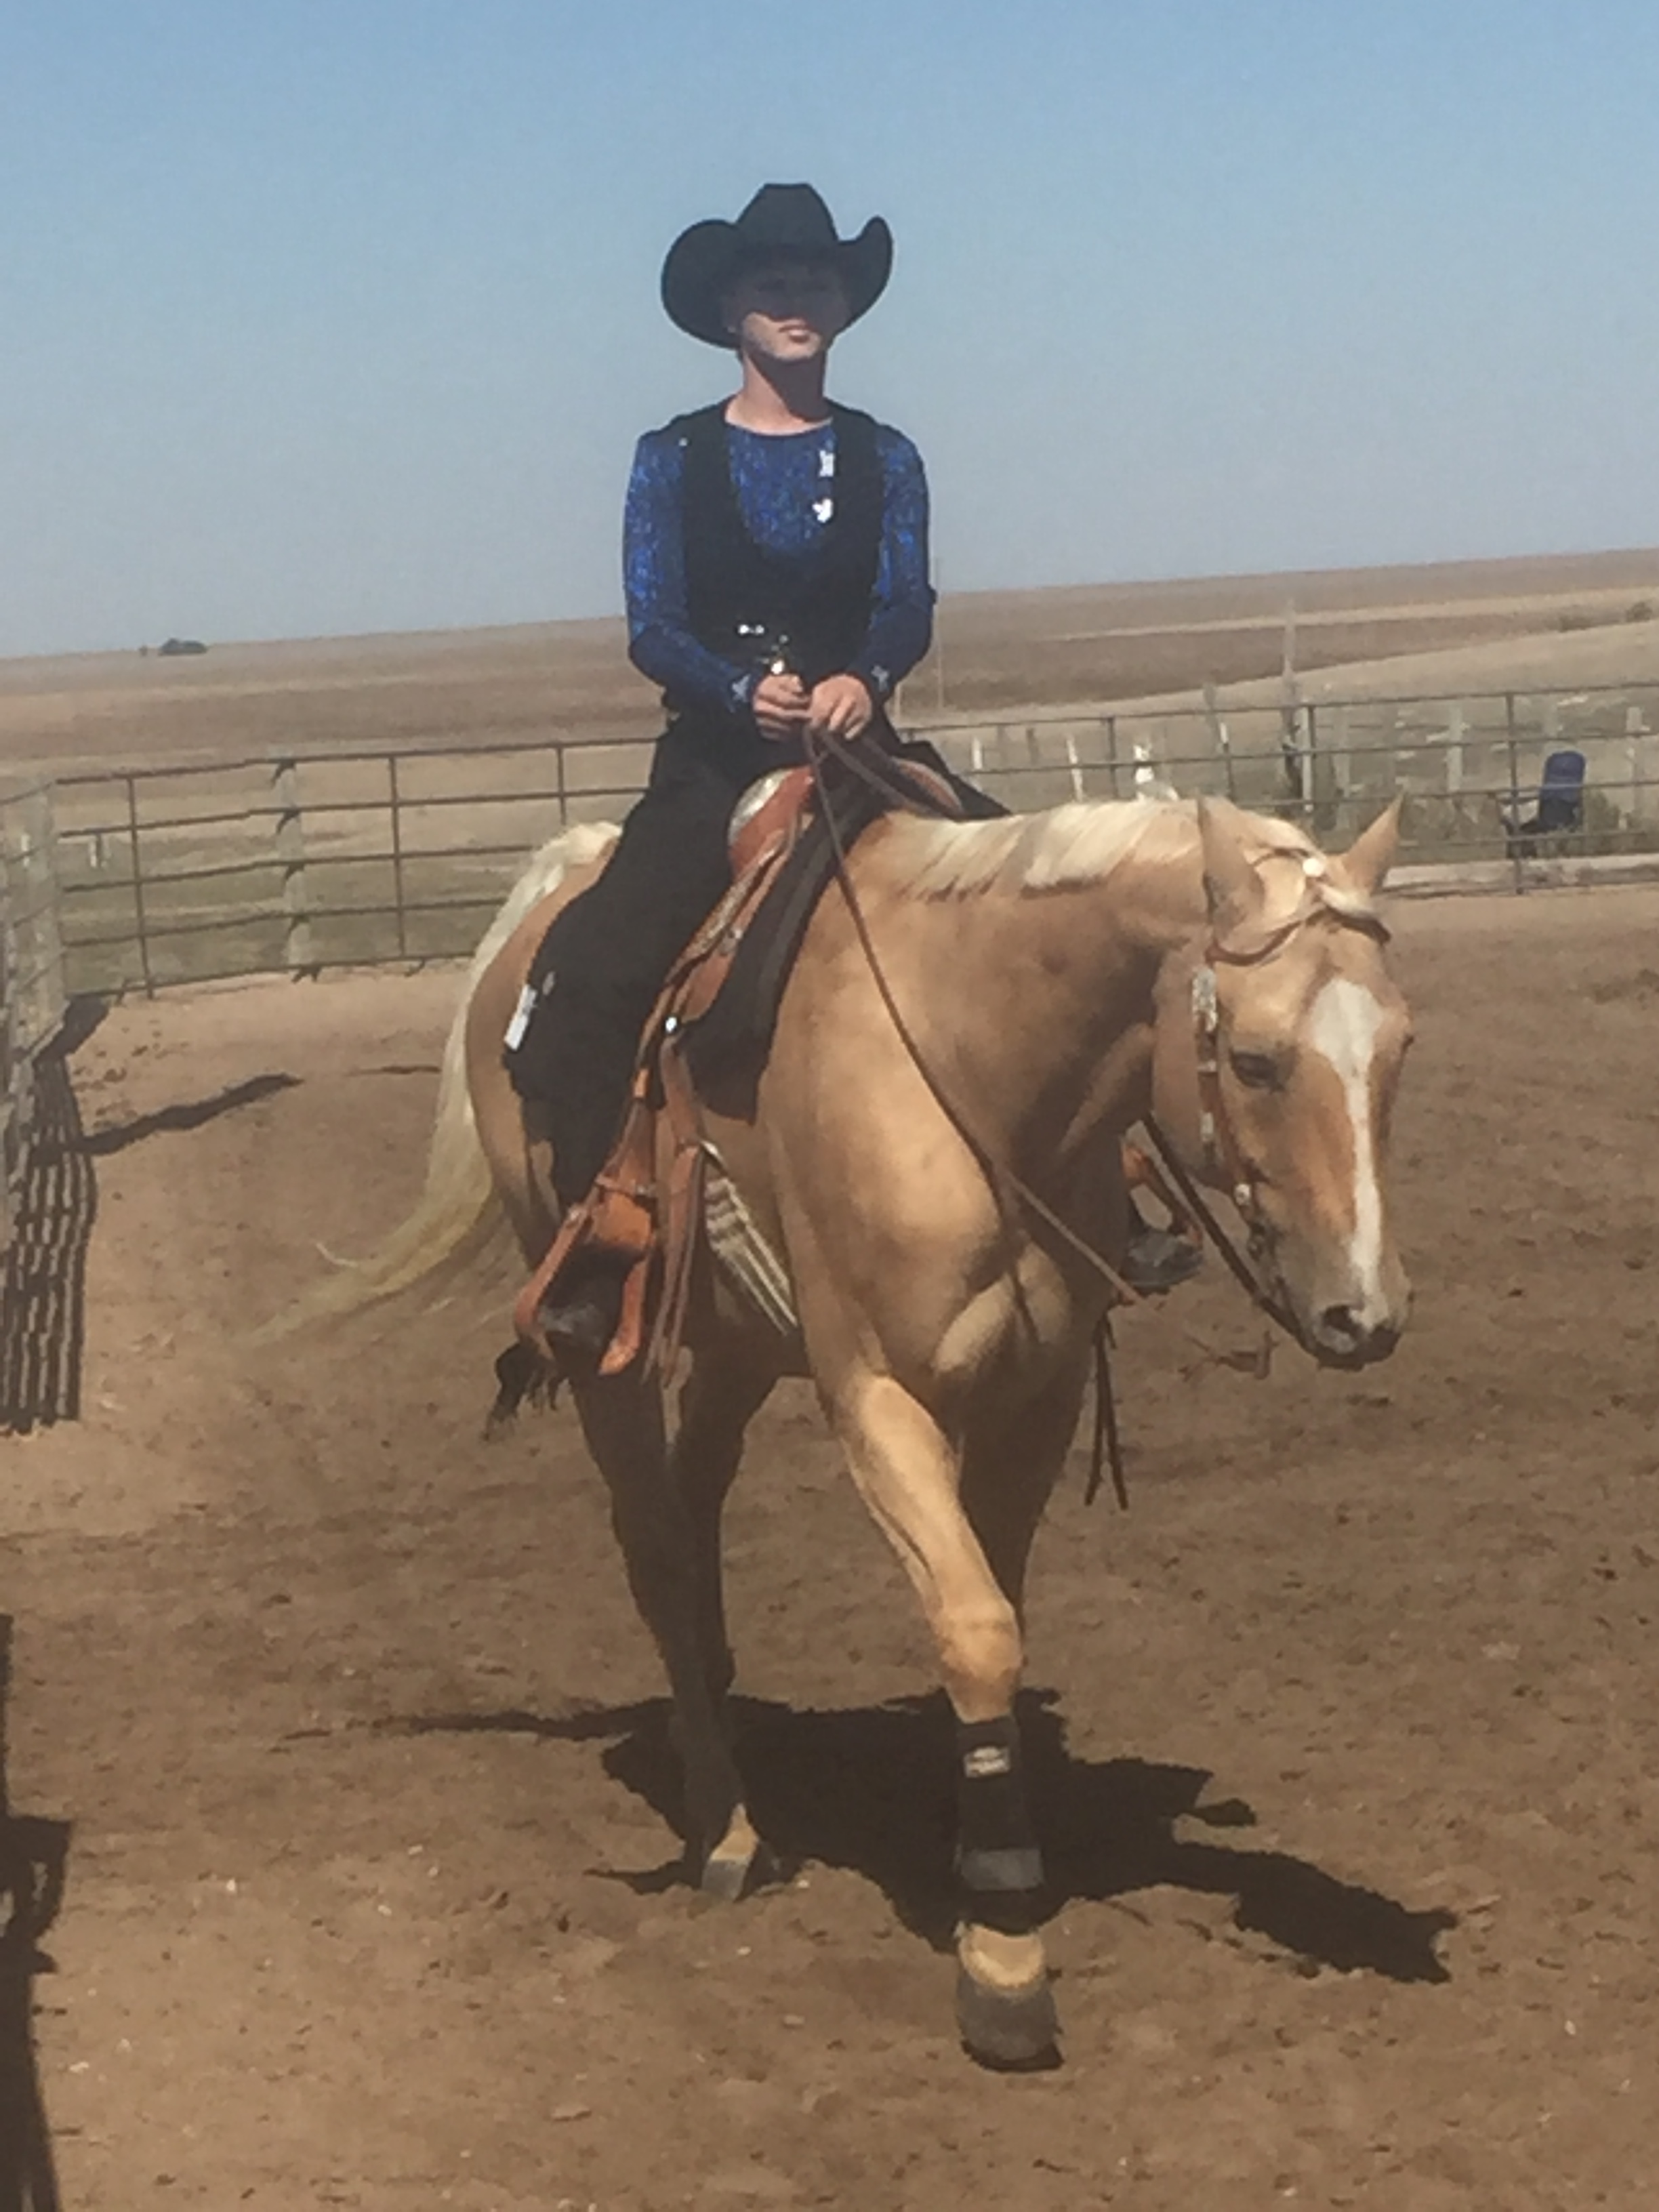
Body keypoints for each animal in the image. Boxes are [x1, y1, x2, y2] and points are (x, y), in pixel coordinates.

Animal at [287, 790, 1411, 2066]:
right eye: (1258, 1060)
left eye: (1400, 1046)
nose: (1363, 1312)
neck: (971, 1063)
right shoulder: (878, 1397)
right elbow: (973, 1627)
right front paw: (1003, 1952)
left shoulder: (1040, 1391)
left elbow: (993, 1610)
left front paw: (974, 1846)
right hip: (599, 1338)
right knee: (656, 1544)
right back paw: (727, 1829)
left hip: (733, 1344)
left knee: (695, 1502)